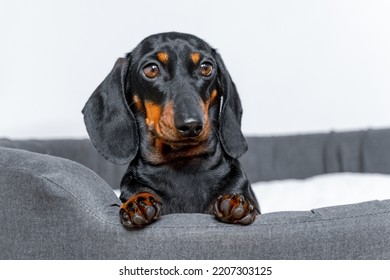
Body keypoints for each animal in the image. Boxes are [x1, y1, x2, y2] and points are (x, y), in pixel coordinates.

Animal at [82, 31, 258, 228]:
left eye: (206, 67)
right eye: (151, 69)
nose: (191, 124)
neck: (182, 163)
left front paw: (236, 201)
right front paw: (138, 202)